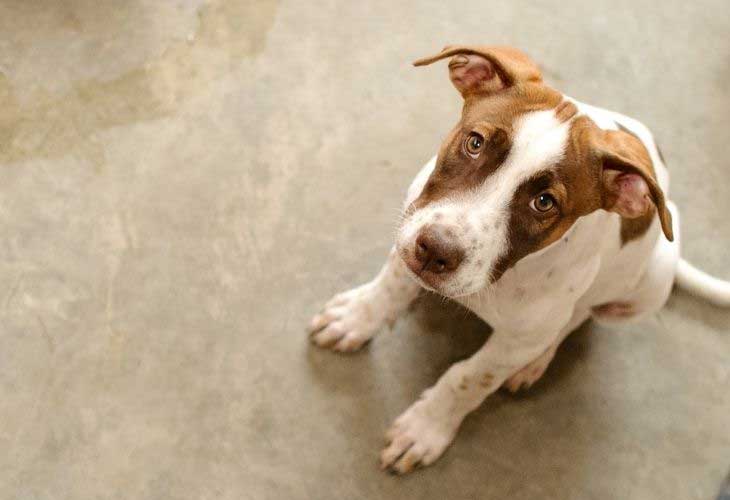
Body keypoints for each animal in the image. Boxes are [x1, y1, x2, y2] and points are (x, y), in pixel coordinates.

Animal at [304, 46, 724, 472]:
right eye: (474, 143)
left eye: (544, 202)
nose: (435, 251)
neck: (502, 279)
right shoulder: (412, 221)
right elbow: (389, 288)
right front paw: (355, 319)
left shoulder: (515, 340)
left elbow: (467, 379)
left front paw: (425, 428)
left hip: (647, 285)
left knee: (578, 316)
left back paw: (534, 361)